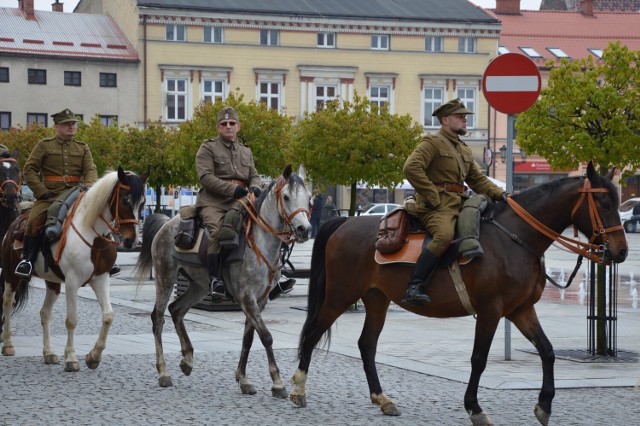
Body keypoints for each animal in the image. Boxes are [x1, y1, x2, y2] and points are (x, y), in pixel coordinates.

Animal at [0, 168, 148, 372]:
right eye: (125, 200)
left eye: (143, 202)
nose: (131, 241)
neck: (93, 236)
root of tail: (14, 224)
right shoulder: (72, 281)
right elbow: (71, 320)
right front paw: (70, 358)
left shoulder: (101, 279)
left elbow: (108, 315)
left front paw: (94, 356)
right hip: (11, 276)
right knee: (7, 302)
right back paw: (8, 344)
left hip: (52, 282)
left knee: (45, 313)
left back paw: (49, 353)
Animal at [292, 161, 632, 424]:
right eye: (604, 204)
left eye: (616, 202)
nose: (622, 251)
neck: (515, 238)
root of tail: (345, 221)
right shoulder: (491, 311)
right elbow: (478, 359)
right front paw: (475, 408)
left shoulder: (521, 310)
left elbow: (547, 351)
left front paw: (544, 405)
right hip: (339, 295)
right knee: (312, 333)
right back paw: (297, 390)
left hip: (377, 299)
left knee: (366, 345)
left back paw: (382, 399)